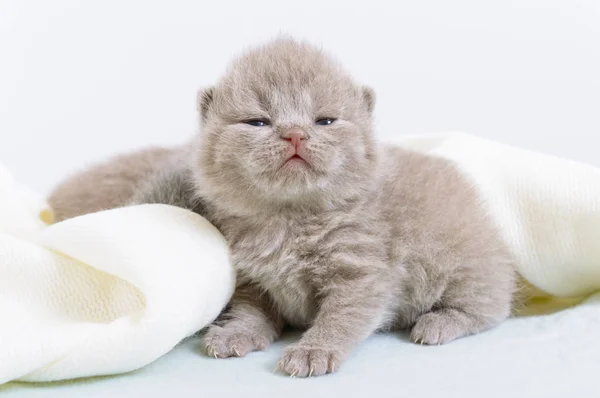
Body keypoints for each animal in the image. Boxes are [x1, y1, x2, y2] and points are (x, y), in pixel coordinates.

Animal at [48, 38, 516, 378]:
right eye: (257, 122)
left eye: (325, 120)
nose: (294, 134)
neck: (289, 219)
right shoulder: (252, 279)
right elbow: (252, 311)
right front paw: (237, 334)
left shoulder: (363, 274)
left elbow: (342, 317)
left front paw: (313, 351)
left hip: (463, 267)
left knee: (488, 308)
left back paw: (440, 323)